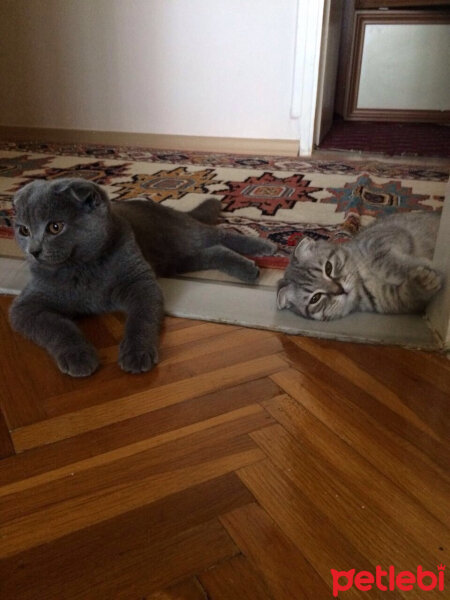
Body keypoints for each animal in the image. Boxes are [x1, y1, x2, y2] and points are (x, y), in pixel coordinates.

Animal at [10, 176, 276, 378]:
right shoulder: (26, 305)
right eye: (23, 230)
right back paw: (247, 268)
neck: (82, 268)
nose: (33, 251)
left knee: (220, 235)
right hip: (179, 260)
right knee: (214, 252)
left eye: (55, 227)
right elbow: (56, 326)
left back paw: (264, 249)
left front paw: (136, 354)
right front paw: (78, 356)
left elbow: (141, 318)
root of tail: (169, 208)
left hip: (187, 235)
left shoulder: (140, 282)